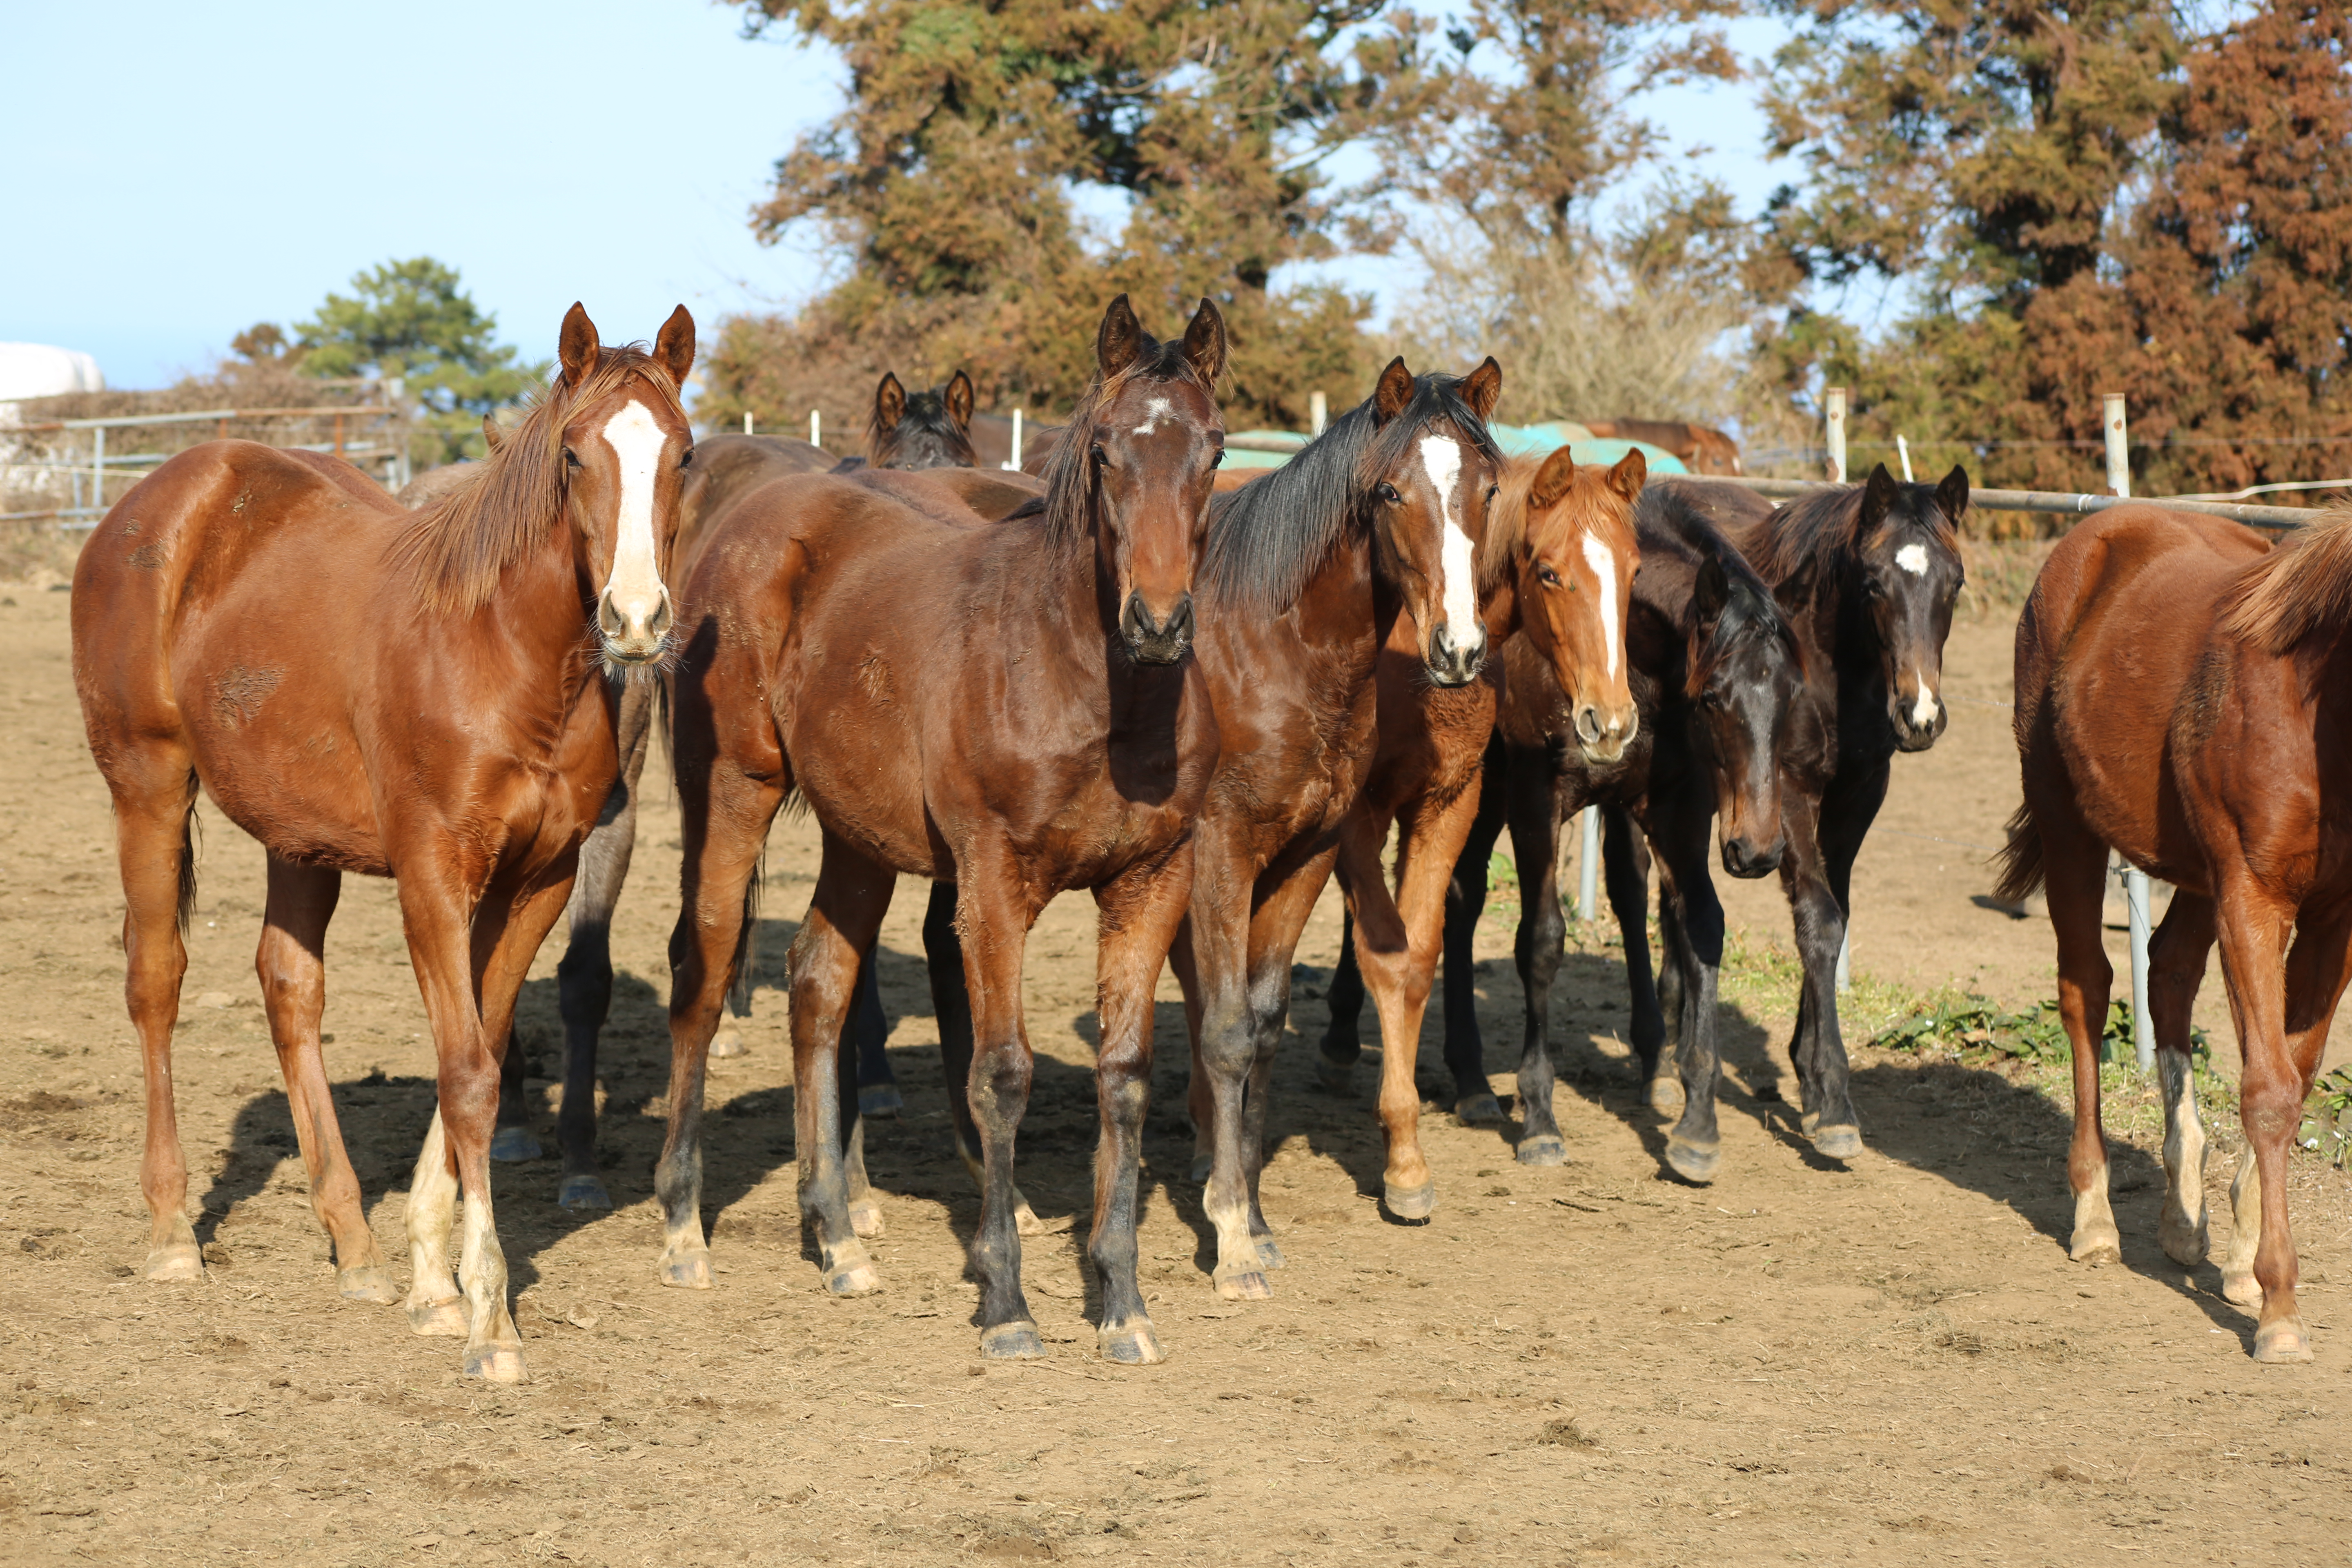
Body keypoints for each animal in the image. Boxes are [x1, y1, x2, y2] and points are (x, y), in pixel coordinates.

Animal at [71, 301, 696, 1382]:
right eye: (574, 454)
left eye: (684, 455)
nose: (635, 620)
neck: (500, 652)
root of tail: (155, 502)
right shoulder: (433, 876)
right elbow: (469, 1072)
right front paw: (489, 1319)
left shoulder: (539, 879)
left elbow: (479, 1046)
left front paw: (431, 1279)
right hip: (145, 787)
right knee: (156, 981)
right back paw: (171, 1232)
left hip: (295, 837)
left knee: (289, 987)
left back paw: (353, 1243)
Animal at [654, 294, 1223, 1363]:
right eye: (1104, 454)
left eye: (1210, 450)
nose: (1159, 622)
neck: (1087, 684)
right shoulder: (993, 885)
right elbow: (999, 1073)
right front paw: (1006, 1304)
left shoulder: (1152, 881)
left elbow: (1124, 1077)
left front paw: (1122, 1300)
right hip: (734, 793)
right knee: (701, 971)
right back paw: (679, 1226)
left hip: (857, 836)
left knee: (818, 981)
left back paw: (836, 1236)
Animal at [1317, 446, 1646, 1222]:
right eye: (1549, 572)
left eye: (1636, 569)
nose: (1611, 722)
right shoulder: (1369, 809)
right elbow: (1395, 946)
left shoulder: (1457, 796)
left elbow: (1423, 941)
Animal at [1618, 470, 1966, 1175]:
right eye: (1873, 584)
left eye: (1956, 583)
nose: (1920, 716)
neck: (1832, 671)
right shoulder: (1791, 797)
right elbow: (1820, 919)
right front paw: (1832, 1102)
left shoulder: (1857, 799)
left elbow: (1833, 918)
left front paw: (1809, 1077)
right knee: (1640, 891)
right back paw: (1660, 1059)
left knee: (1675, 901)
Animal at [2004, 503, 2352, 1363]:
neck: (2317, 709)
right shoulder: (2253, 897)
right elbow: (2269, 1090)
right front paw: (2280, 1307)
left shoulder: (2333, 916)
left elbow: (2298, 1072)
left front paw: (2245, 1262)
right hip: (2070, 827)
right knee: (2088, 991)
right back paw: (2095, 1220)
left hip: (2194, 872)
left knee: (2167, 974)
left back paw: (2182, 1219)